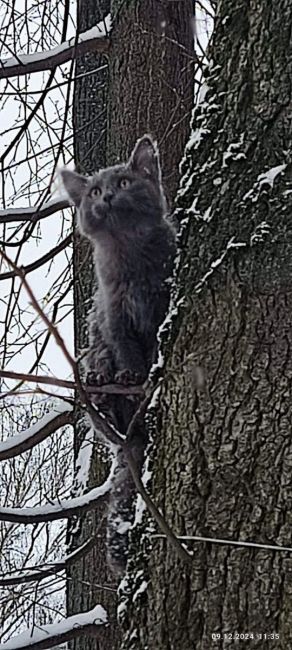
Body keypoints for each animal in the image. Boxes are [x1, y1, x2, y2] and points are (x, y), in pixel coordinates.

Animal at [61, 137, 176, 572]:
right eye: (94, 192)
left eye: (125, 182)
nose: (107, 196)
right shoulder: (114, 317)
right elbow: (126, 351)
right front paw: (129, 375)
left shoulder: (160, 303)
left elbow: (155, 344)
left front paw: (146, 372)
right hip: (91, 356)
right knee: (106, 420)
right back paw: (99, 389)